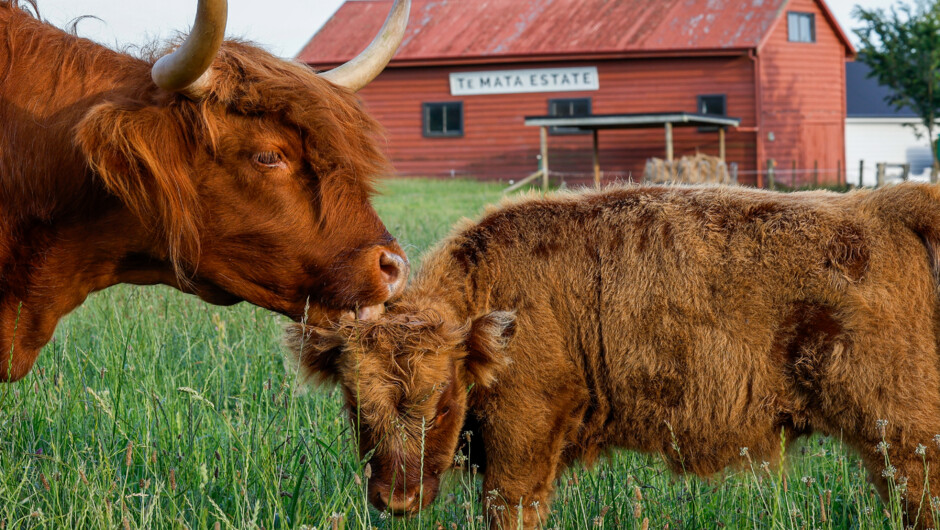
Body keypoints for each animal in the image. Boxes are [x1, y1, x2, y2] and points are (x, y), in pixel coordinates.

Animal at [289, 183, 940, 528]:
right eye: (354, 404)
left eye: (443, 402)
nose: (396, 500)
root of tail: (888, 207)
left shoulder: (522, 447)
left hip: (906, 441)